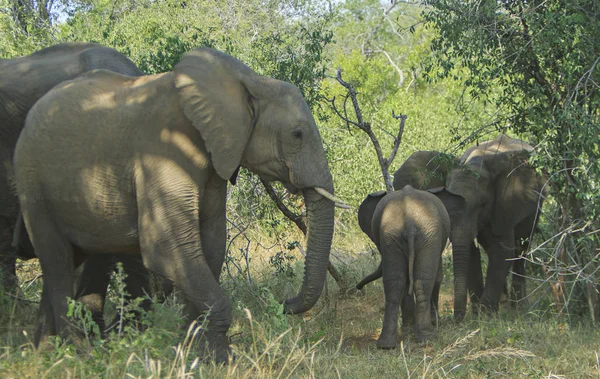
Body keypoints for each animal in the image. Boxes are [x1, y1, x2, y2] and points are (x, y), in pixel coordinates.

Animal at [14, 47, 342, 366]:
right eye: (297, 134)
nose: (286, 303)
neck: (245, 79)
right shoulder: (162, 152)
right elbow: (169, 248)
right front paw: (221, 359)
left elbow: (211, 246)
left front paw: (194, 350)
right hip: (32, 184)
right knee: (57, 262)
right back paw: (77, 354)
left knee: (67, 261)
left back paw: (45, 352)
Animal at [356, 186, 454, 348]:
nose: (358, 288)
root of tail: (409, 222)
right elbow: (437, 276)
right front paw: (433, 323)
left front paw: (409, 330)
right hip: (427, 235)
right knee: (421, 282)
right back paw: (427, 338)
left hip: (393, 235)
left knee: (396, 283)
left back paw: (386, 344)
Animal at [438, 135, 548, 320]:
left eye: (482, 205)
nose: (457, 321)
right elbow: (471, 252)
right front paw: (479, 314)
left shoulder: (504, 204)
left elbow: (504, 250)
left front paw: (485, 315)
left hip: (535, 207)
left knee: (522, 246)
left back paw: (518, 307)